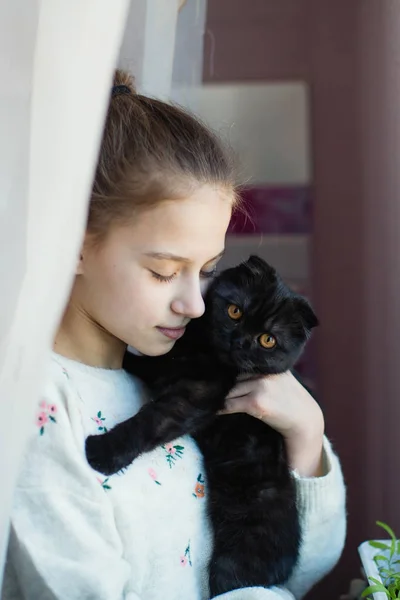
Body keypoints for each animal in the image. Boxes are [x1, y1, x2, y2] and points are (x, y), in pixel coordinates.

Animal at [86, 254, 318, 596]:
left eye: (267, 340)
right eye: (235, 311)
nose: (240, 341)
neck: (200, 350)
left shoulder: (197, 396)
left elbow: (151, 421)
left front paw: (104, 452)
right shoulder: (166, 364)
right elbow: (145, 362)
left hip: (233, 564)